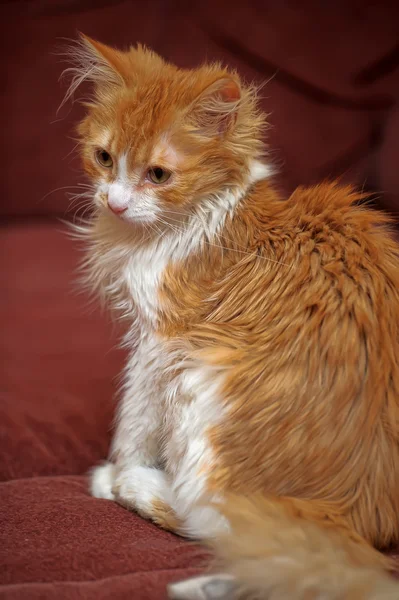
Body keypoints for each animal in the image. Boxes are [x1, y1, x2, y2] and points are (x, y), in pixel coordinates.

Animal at [67, 35, 399, 596]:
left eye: (158, 174)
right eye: (104, 158)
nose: (114, 202)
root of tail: (350, 513)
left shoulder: (158, 342)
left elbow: (133, 419)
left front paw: (113, 474)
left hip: (199, 384)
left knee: (211, 520)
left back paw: (138, 487)